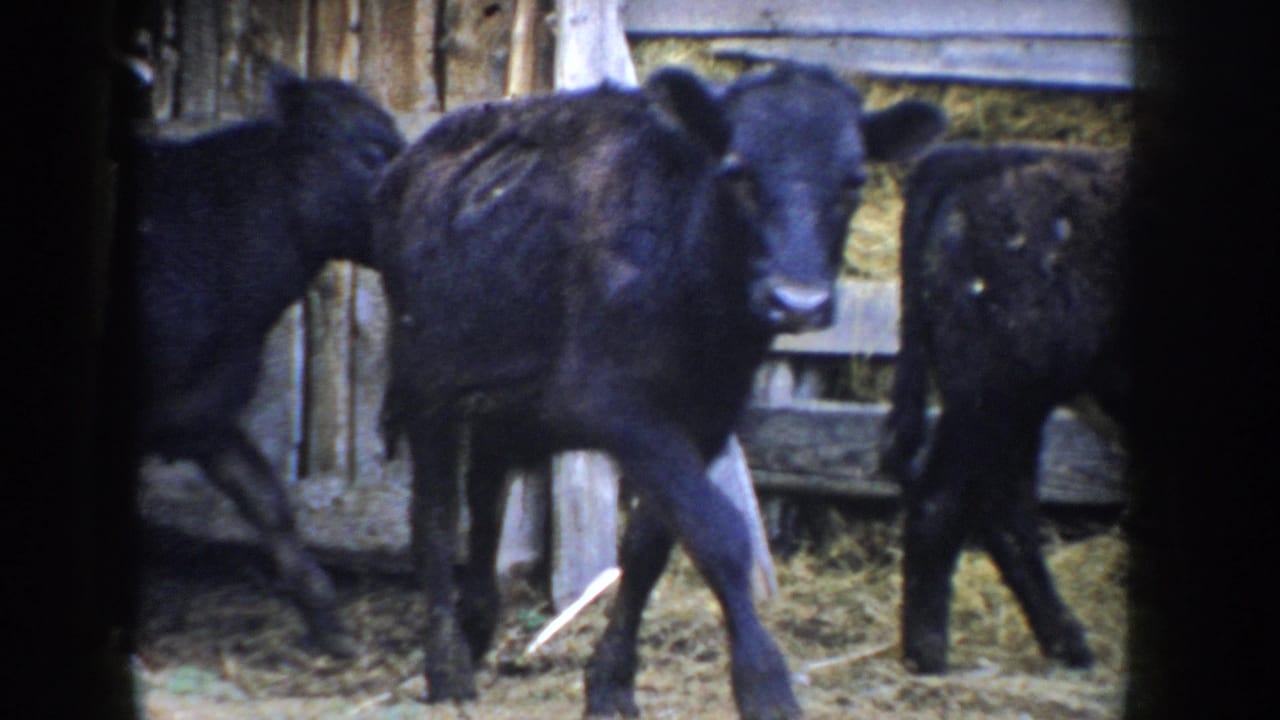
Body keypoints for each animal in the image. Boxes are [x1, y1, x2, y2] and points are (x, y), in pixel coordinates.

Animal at [373, 62, 945, 718]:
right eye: (736, 172)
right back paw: (447, 664)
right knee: (435, 514)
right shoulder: (616, 406)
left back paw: (478, 621)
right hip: (426, 382)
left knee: (487, 500)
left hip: (502, 402)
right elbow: (718, 533)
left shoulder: (707, 419)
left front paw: (611, 682)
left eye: (854, 182)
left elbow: (649, 548)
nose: (798, 302)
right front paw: (765, 683)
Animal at [879, 143, 1131, 674]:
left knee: (1001, 504)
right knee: (948, 499)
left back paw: (1068, 645)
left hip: (1014, 407)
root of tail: (984, 154)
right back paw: (928, 654)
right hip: (997, 396)